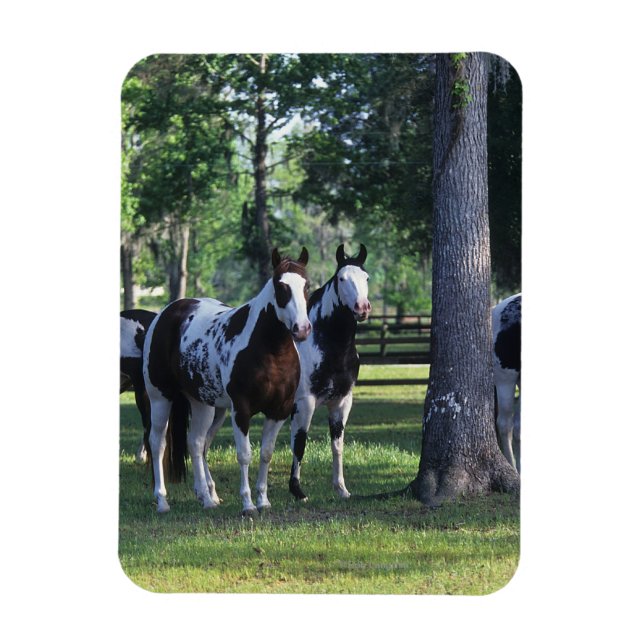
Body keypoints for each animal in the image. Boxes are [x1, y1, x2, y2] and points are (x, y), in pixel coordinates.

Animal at [142, 248, 311, 515]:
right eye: (281, 286)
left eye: (307, 285)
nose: (302, 329)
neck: (270, 351)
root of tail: (166, 314)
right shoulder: (241, 410)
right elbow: (244, 455)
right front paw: (248, 504)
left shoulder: (279, 411)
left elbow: (266, 453)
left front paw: (263, 500)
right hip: (161, 398)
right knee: (157, 444)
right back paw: (162, 501)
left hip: (205, 405)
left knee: (196, 443)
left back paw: (207, 498)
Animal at [288, 243, 371, 501]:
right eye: (341, 278)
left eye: (366, 277)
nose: (362, 308)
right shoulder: (305, 403)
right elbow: (300, 444)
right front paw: (297, 491)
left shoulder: (341, 402)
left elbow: (337, 445)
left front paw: (341, 488)